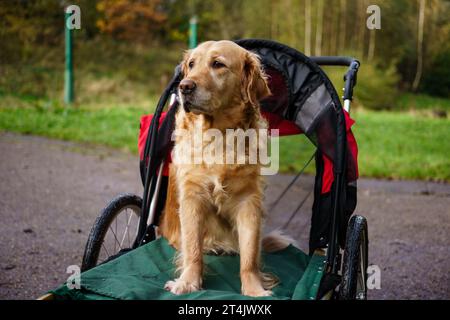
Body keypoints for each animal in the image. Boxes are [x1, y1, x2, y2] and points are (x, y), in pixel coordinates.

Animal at [160, 40, 294, 298]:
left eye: (218, 64)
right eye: (191, 64)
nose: (184, 87)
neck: (218, 135)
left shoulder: (248, 200)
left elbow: (250, 255)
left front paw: (254, 288)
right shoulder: (192, 196)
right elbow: (192, 248)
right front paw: (188, 282)